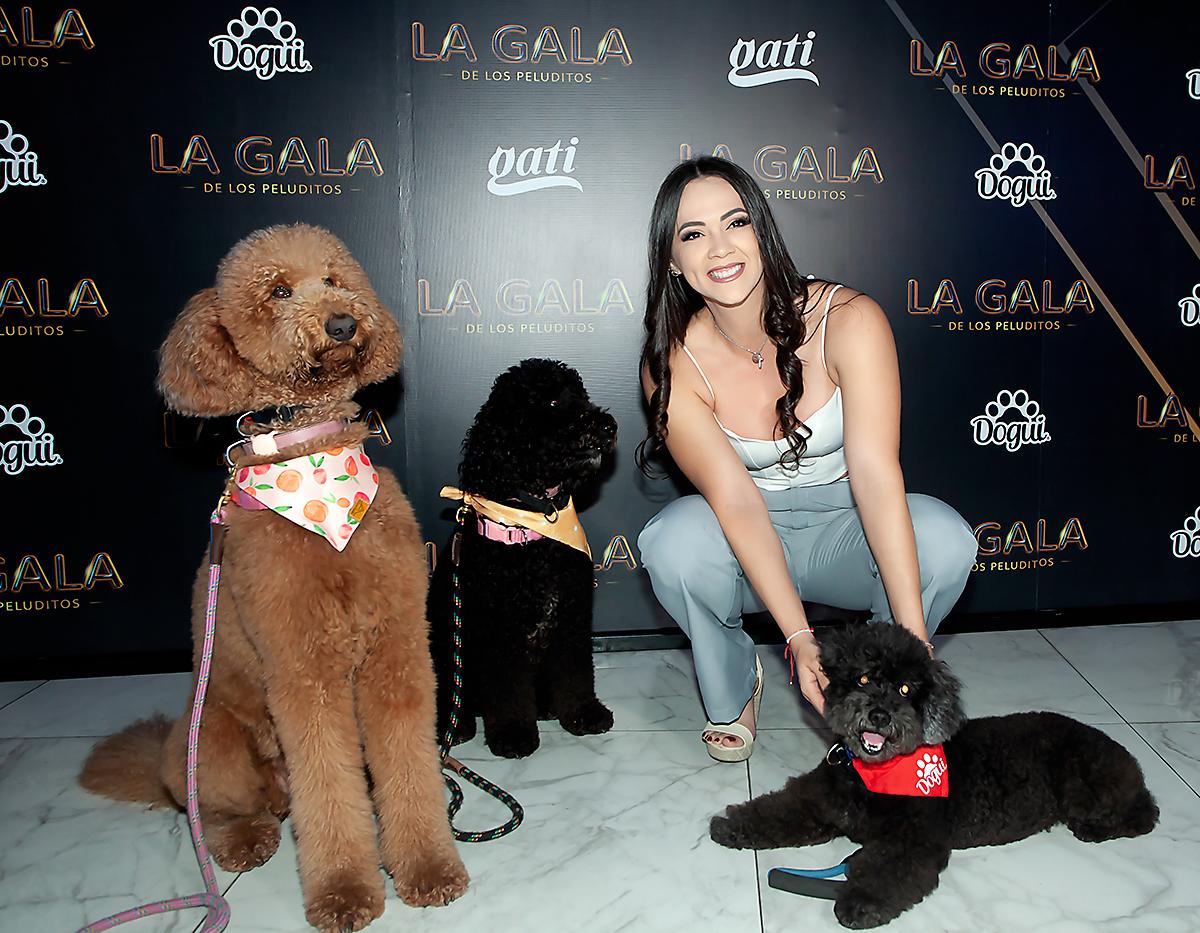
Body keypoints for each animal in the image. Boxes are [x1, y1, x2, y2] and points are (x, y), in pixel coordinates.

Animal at [78, 223, 463, 930]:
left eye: (334, 278)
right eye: (278, 291)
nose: (342, 322)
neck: (315, 476)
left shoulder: (396, 649)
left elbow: (410, 768)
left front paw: (427, 866)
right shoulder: (302, 669)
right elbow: (328, 793)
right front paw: (344, 890)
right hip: (212, 748)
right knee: (221, 812)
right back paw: (242, 841)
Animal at [429, 357, 619, 757]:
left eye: (581, 396)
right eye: (552, 401)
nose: (608, 425)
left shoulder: (571, 618)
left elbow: (576, 672)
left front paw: (583, 713)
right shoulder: (501, 630)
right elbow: (507, 689)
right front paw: (513, 732)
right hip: (446, 643)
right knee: (450, 693)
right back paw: (456, 725)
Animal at [705, 623, 1156, 925]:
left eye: (907, 688)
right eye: (864, 677)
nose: (879, 714)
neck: (876, 776)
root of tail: (1118, 749)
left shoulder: (914, 840)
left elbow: (885, 870)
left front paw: (860, 902)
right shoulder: (818, 803)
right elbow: (777, 811)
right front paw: (732, 826)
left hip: (1089, 787)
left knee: (1142, 813)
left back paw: (1095, 828)